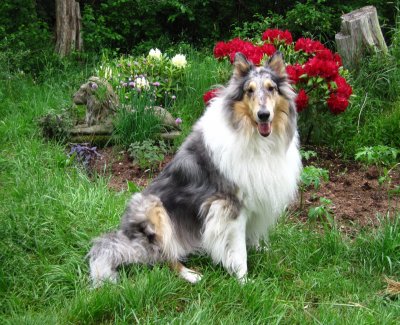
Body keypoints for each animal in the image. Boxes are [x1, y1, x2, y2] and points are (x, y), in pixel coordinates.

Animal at [89, 52, 302, 284]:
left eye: (271, 88)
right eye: (250, 90)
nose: (264, 115)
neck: (254, 136)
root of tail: (128, 238)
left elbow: (251, 237)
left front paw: (262, 250)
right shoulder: (229, 205)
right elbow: (238, 250)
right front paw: (243, 281)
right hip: (154, 209)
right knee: (162, 257)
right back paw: (191, 275)